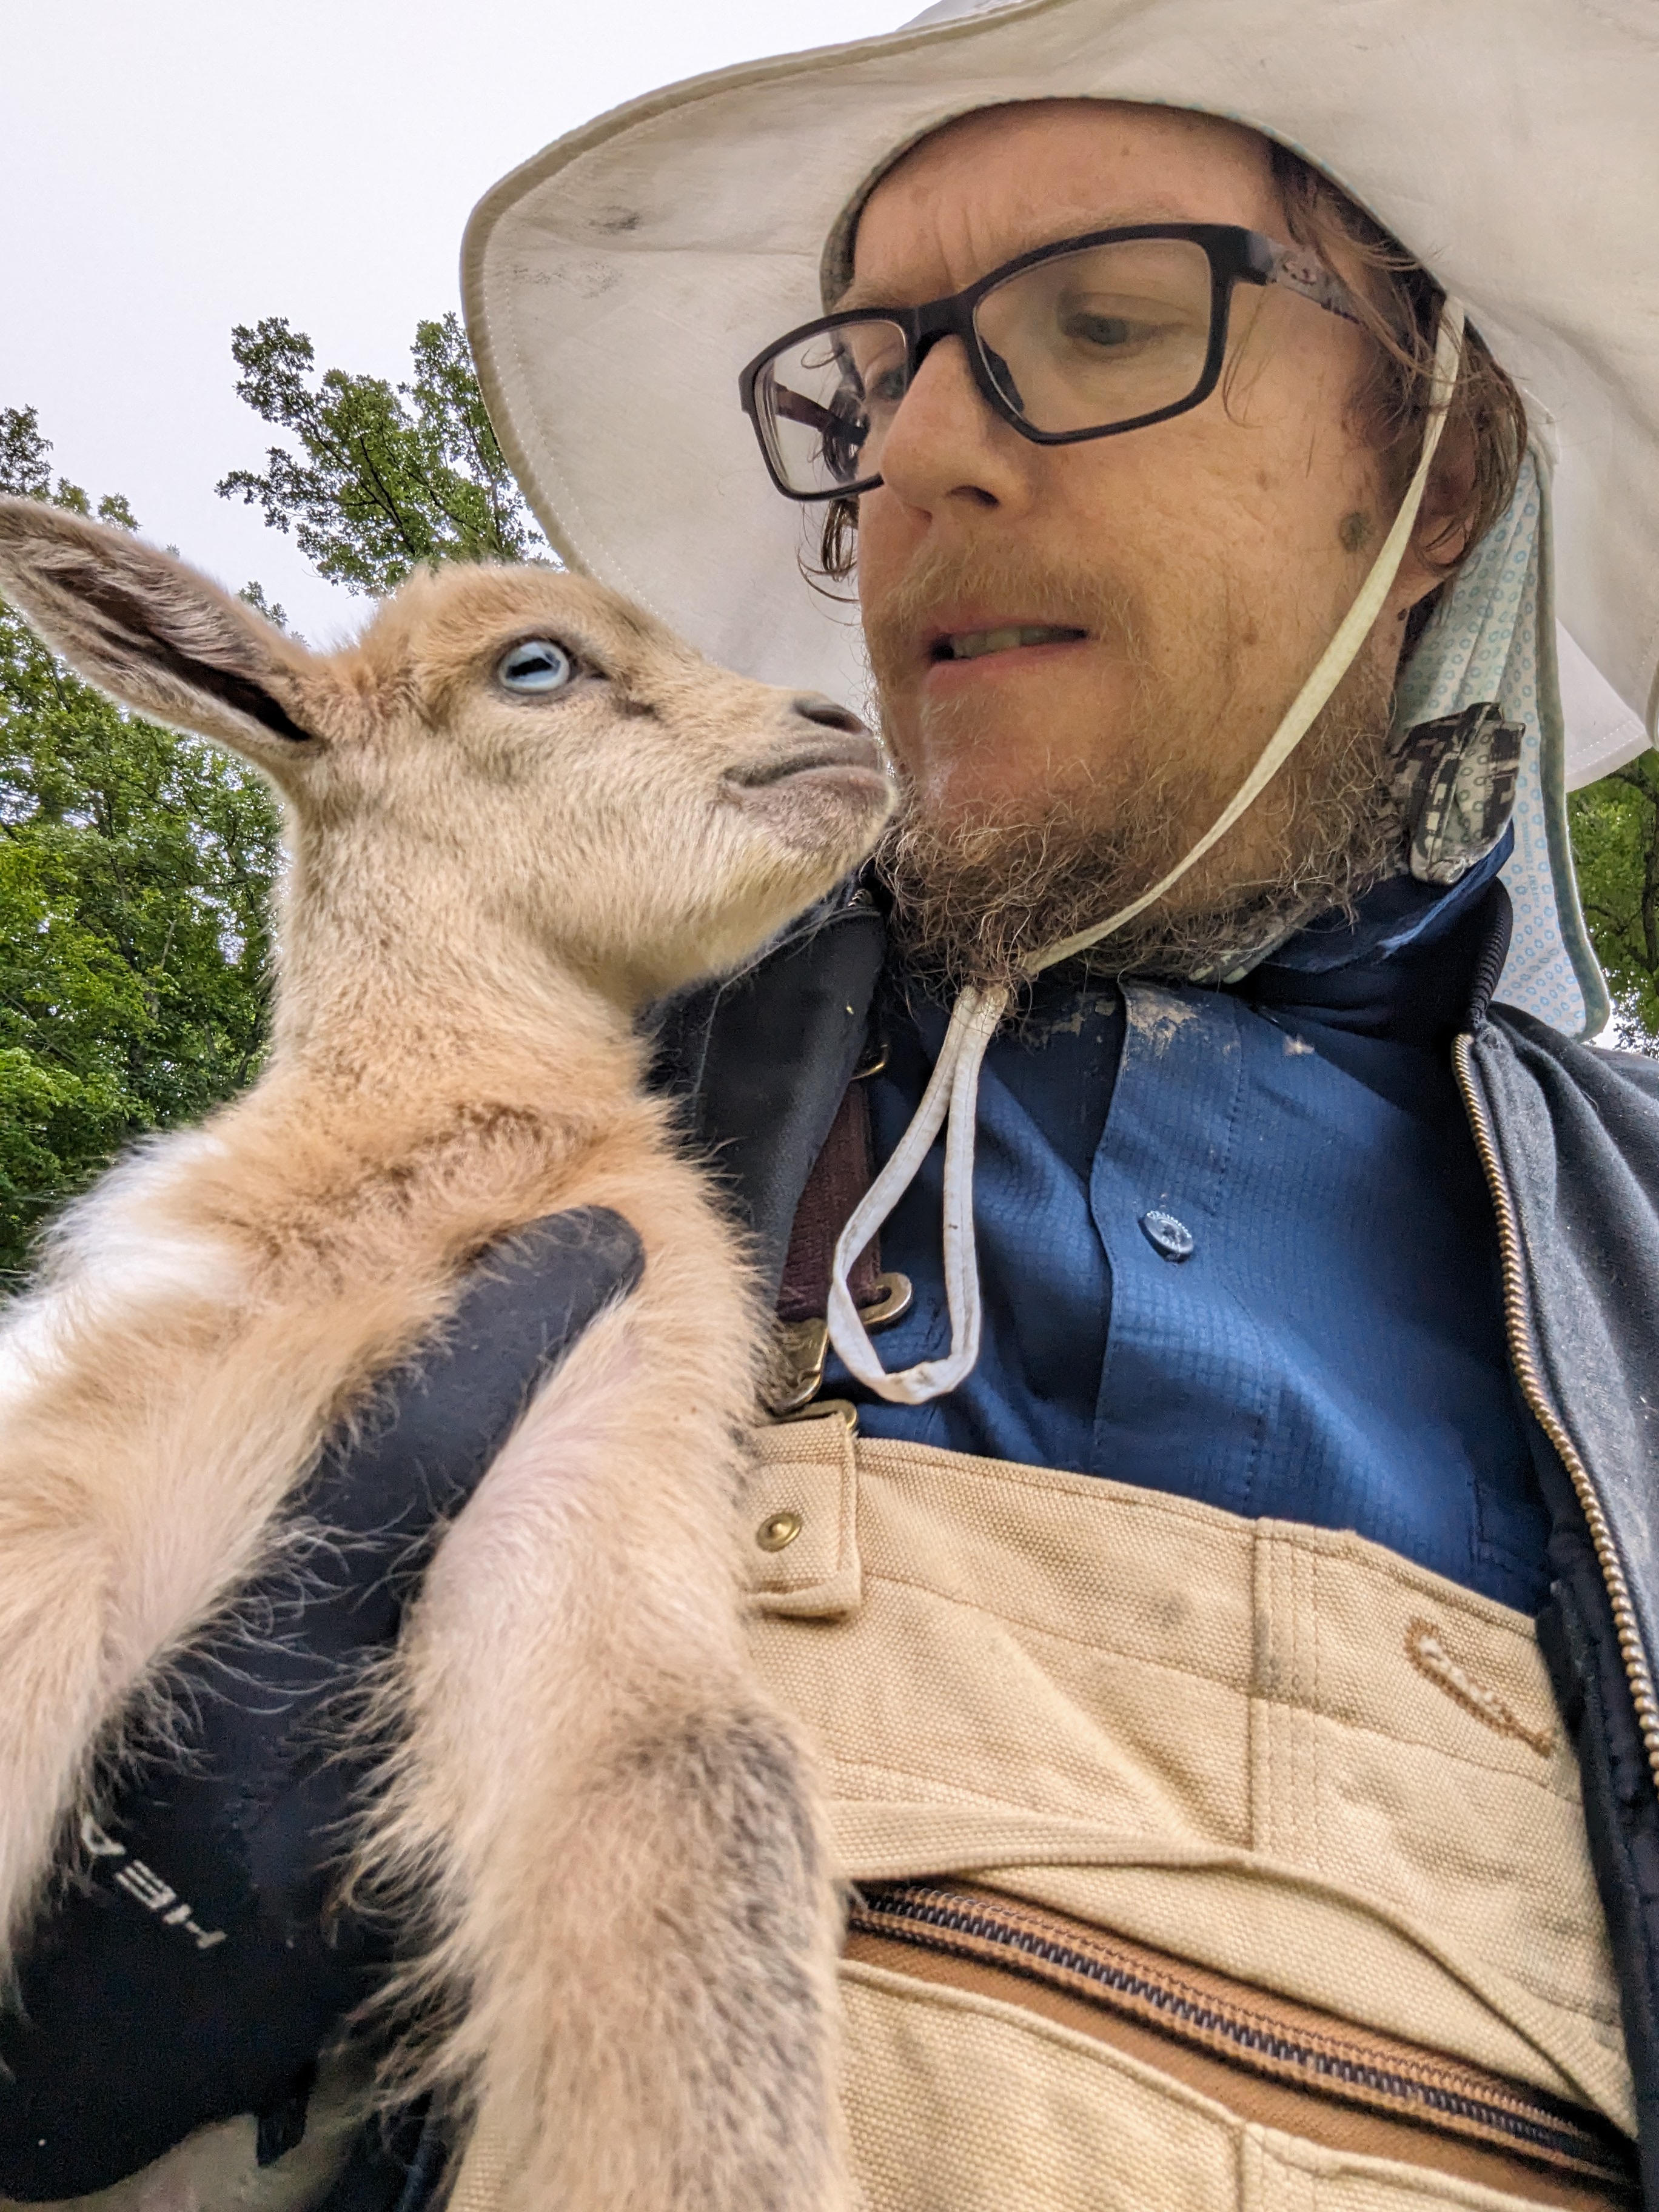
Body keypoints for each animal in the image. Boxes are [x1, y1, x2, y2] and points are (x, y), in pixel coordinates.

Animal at [0, 499, 894, 2210]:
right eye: (535, 664)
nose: (846, 734)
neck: (422, 1165)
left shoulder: (609, 1427)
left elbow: (701, 1782)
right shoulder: (87, 1432)